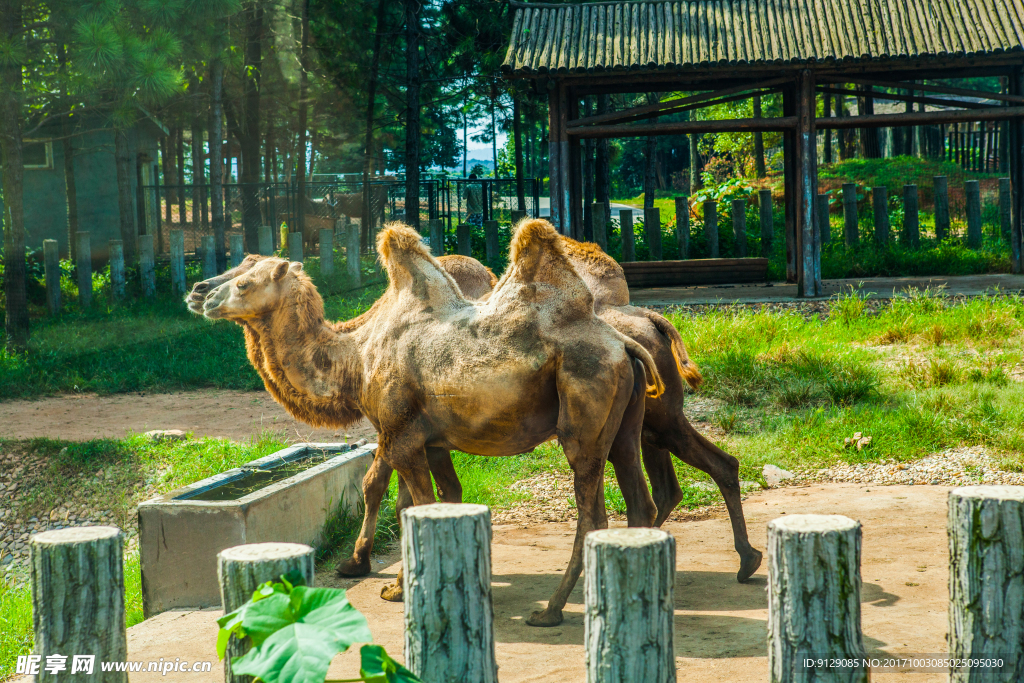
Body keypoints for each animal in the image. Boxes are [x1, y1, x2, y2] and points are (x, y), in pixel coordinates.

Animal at [197, 220, 663, 626]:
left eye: (244, 282)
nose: (203, 296)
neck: (356, 356)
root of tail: (623, 344)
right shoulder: (427, 438)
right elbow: (426, 500)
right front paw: (399, 584)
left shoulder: (399, 436)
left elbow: (411, 504)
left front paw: (397, 585)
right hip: (624, 423)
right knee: (639, 496)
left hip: (583, 408)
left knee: (592, 514)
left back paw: (550, 610)